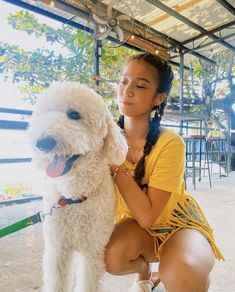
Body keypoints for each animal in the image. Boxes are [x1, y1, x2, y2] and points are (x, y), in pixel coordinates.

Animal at [28, 82, 129, 292]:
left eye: (74, 114)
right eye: (45, 113)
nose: (43, 142)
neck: (74, 198)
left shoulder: (93, 250)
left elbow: (88, 282)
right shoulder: (58, 249)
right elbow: (56, 282)